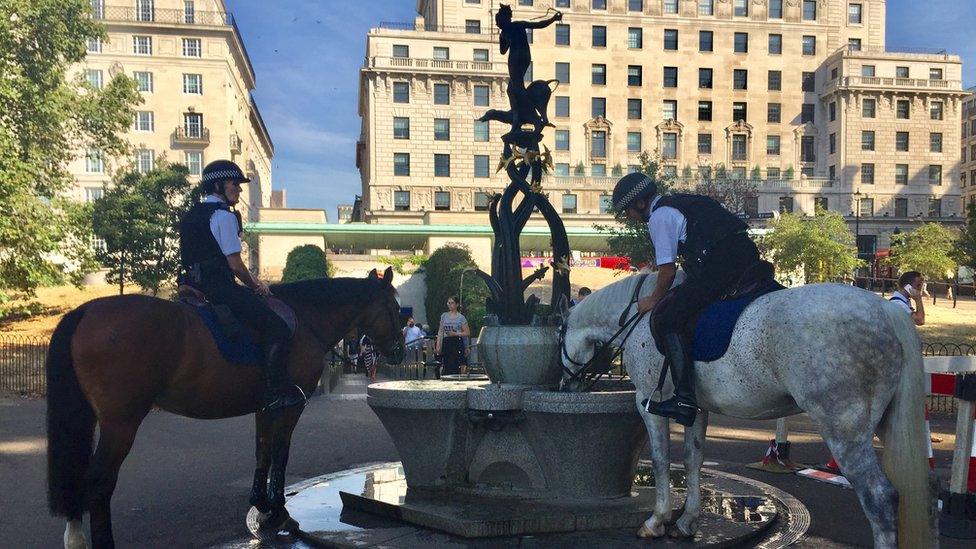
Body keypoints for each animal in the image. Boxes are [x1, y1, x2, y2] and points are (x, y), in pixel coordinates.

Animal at [44, 266, 404, 544]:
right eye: (394, 308)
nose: (399, 351)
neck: (305, 320)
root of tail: (87, 311)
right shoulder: (290, 406)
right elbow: (281, 453)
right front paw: (280, 513)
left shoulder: (266, 406)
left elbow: (263, 451)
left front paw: (262, 506)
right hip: (121, 424)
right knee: (98, 484)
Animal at [564, 272, 936, 544]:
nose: (567, 385)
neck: (640, 315)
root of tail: (886, 311)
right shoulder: (696, 410)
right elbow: (693, 459)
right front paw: (686, 523)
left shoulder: (648, 404)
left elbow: (660, 461)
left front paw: (657, 521)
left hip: (844, 429)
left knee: (879, 498)